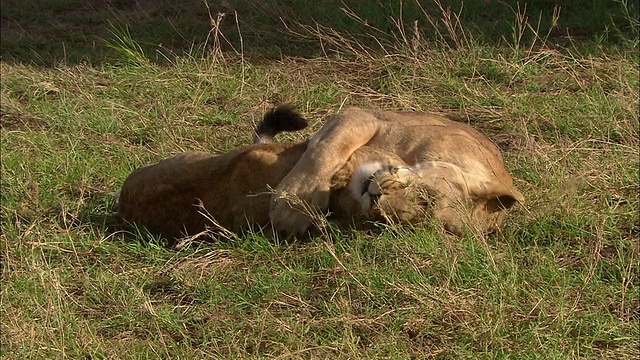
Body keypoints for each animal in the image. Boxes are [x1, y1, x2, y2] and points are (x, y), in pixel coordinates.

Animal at [116, 105, 524, 239]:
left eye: (393, 225)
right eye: (425, 199)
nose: (376, 197)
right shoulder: (359, 115)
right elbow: (324, 150)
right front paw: (291, 205)